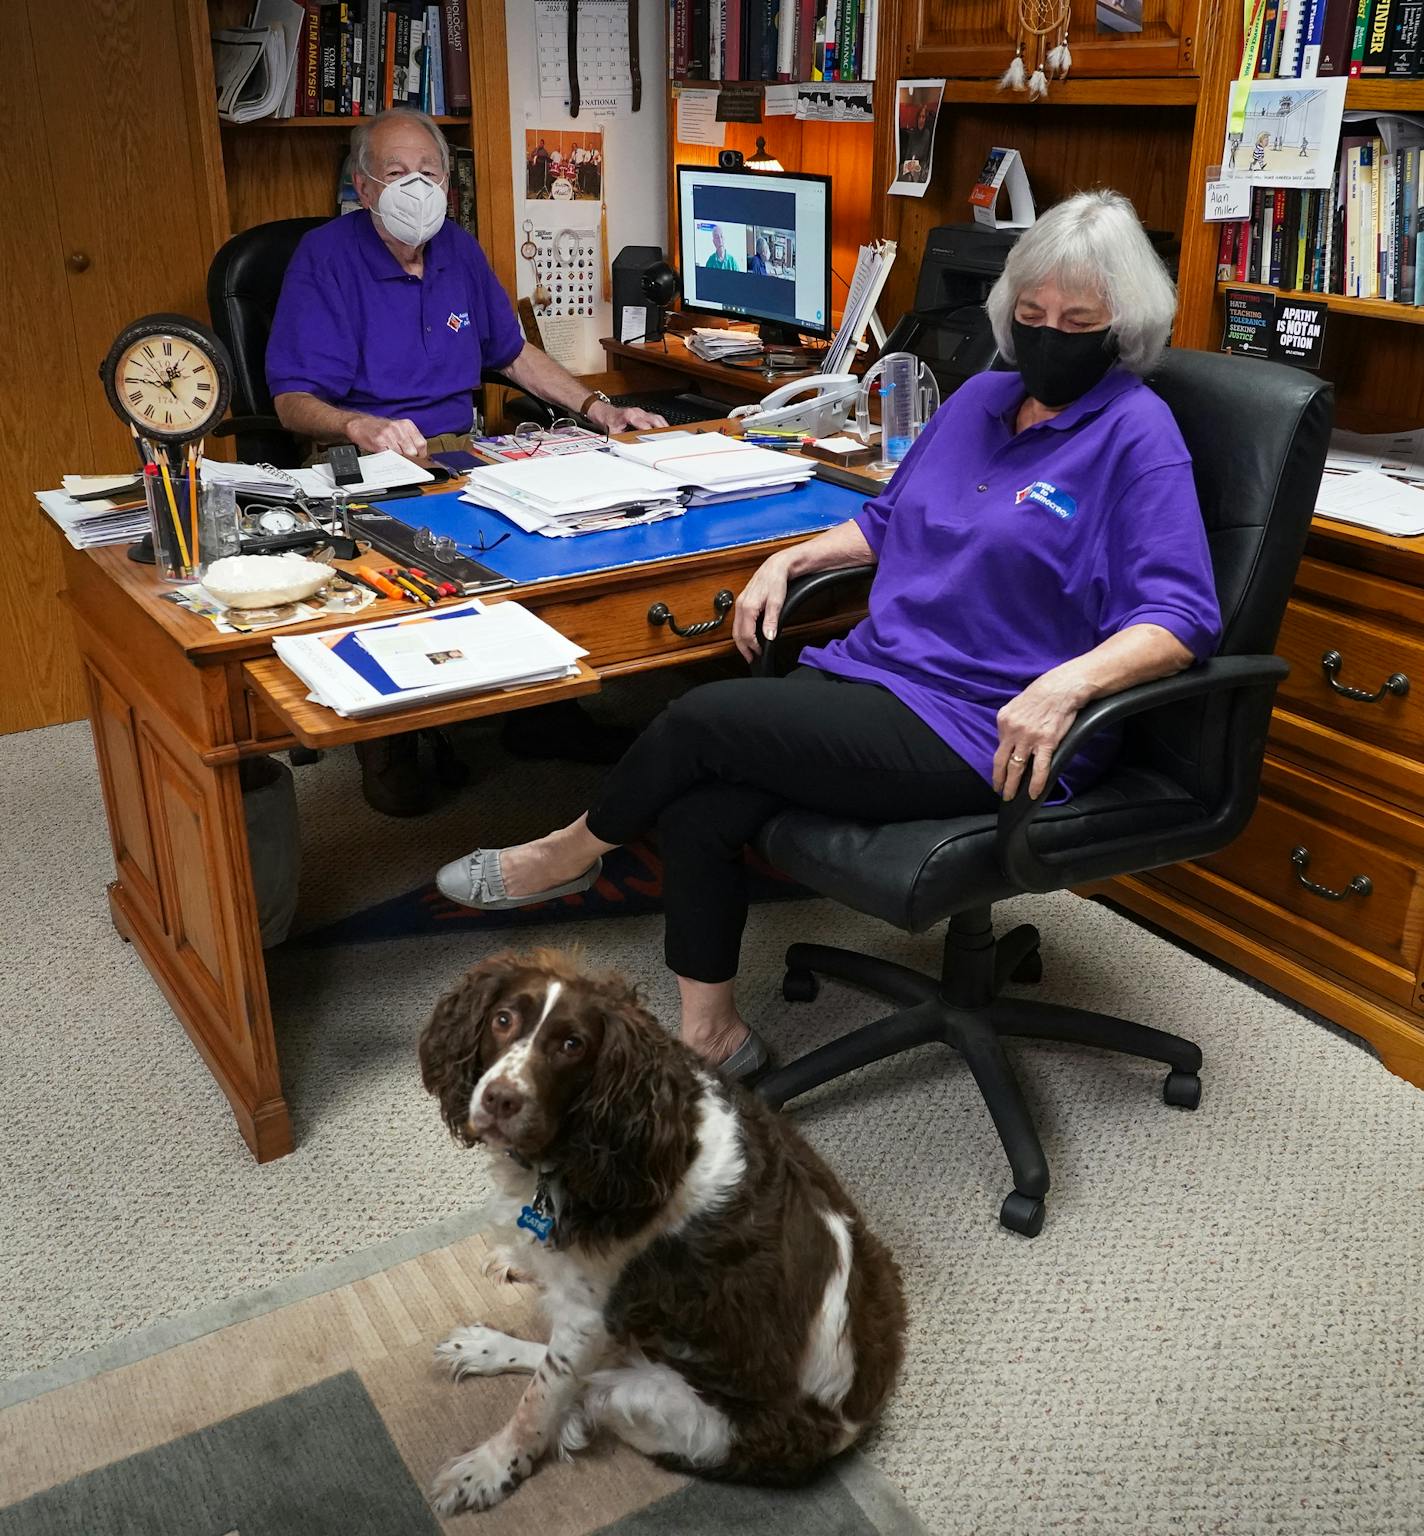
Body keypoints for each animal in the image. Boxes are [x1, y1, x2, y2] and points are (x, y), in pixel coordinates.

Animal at [420, 946, 903, 1511]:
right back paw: (486, 1345)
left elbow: (537, 1403)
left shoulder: (591, 1317)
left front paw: (491, 1468)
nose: (498, 1099)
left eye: (571, 1045)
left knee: (588, 1386)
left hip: (655, 1405)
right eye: (502, 1020)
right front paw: (519, 1264)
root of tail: (847, 1426)